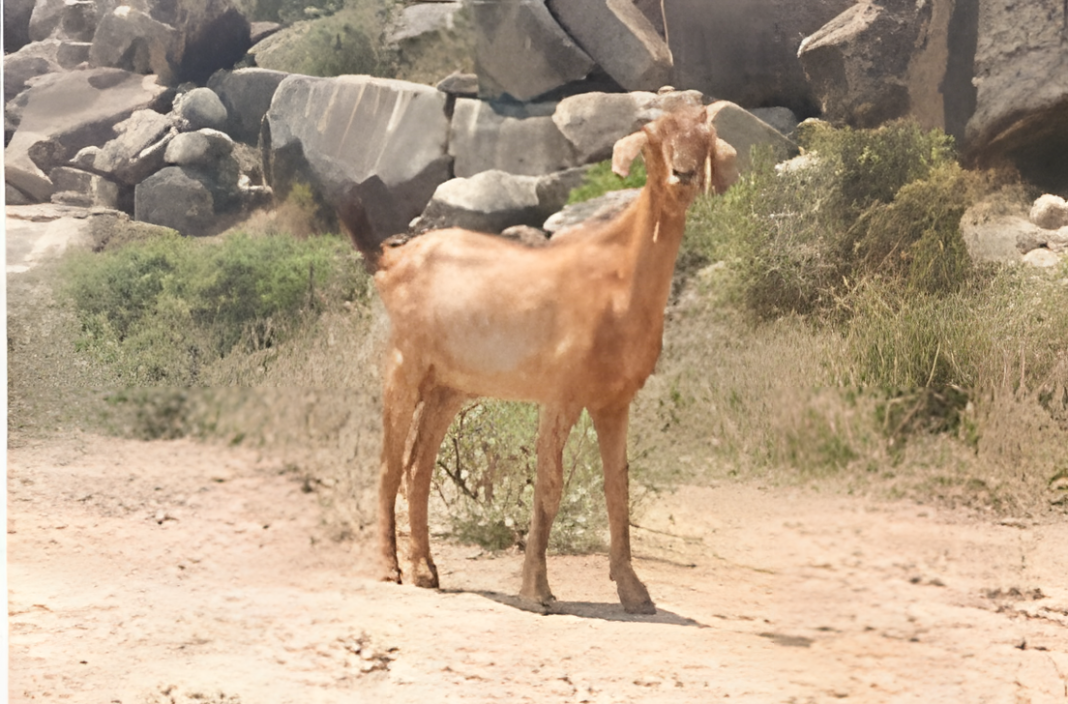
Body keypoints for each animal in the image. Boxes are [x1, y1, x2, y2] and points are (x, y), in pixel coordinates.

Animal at [370, 104, 738, 614]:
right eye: (652, 137)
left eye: (705, 137)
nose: (682, 175)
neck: (618, 280)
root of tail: (392, 261)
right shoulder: (561, 394)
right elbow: (549, 483)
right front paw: (537, 589)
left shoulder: (613, 402)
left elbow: (618, 487)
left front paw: (634, 590)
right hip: (403, 366)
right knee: (389, 465)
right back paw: (390, 568)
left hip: (448, 388)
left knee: (418, 468)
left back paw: (426, 570)